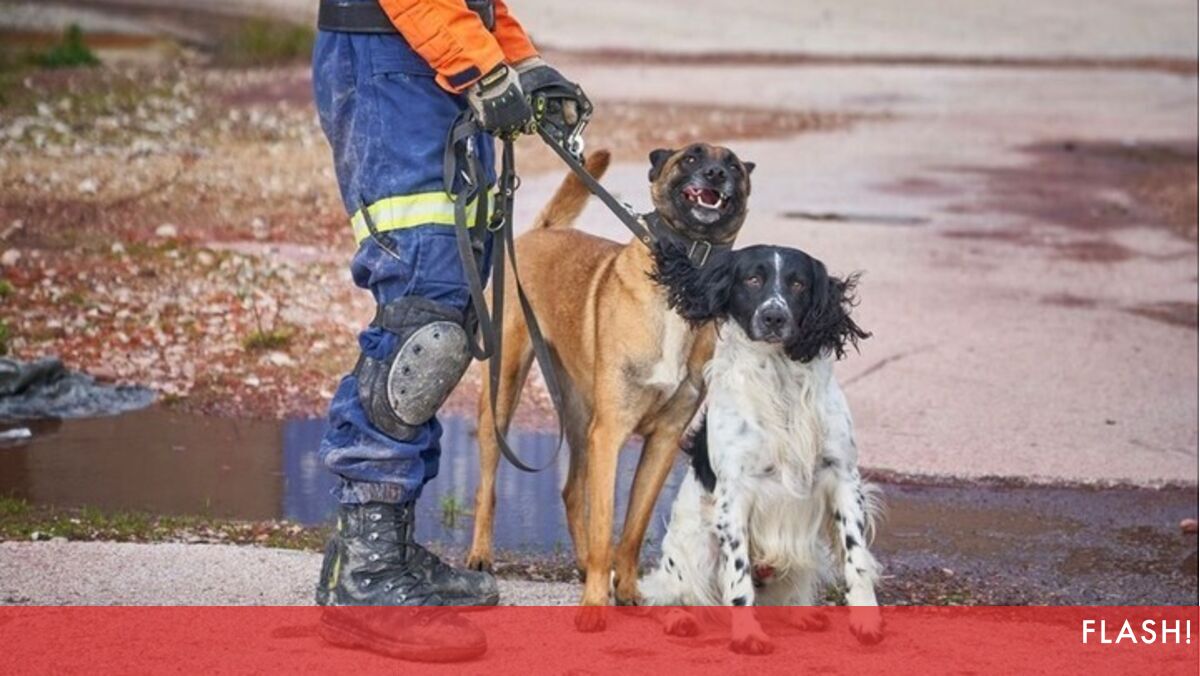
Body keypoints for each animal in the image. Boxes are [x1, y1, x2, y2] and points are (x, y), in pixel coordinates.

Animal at [465, 144, 755, 629]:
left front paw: (628, 590)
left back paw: (582, 565)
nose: (716, 173)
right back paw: (481, 555)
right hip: (503, 400)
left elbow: (632, 530)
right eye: (691, 158)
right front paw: (596, 603)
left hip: (581, 421)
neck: (679, 278)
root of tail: (544, 231)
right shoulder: (612, 434)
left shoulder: (662, 442)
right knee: (487, 486)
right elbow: (605, 528)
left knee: (569, 491)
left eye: (733, 163)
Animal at [639, 243, 882, 652]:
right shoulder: (734, 494)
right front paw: (748, 636)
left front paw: (867, 621)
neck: (780, 377)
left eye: (798, 284)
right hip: (695, 544)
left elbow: (856, 557)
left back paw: (802, 613)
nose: (773, 316)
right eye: (752, 279)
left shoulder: (843, 478)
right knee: (671, 591)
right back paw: (679, 618)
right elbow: (738, 578)